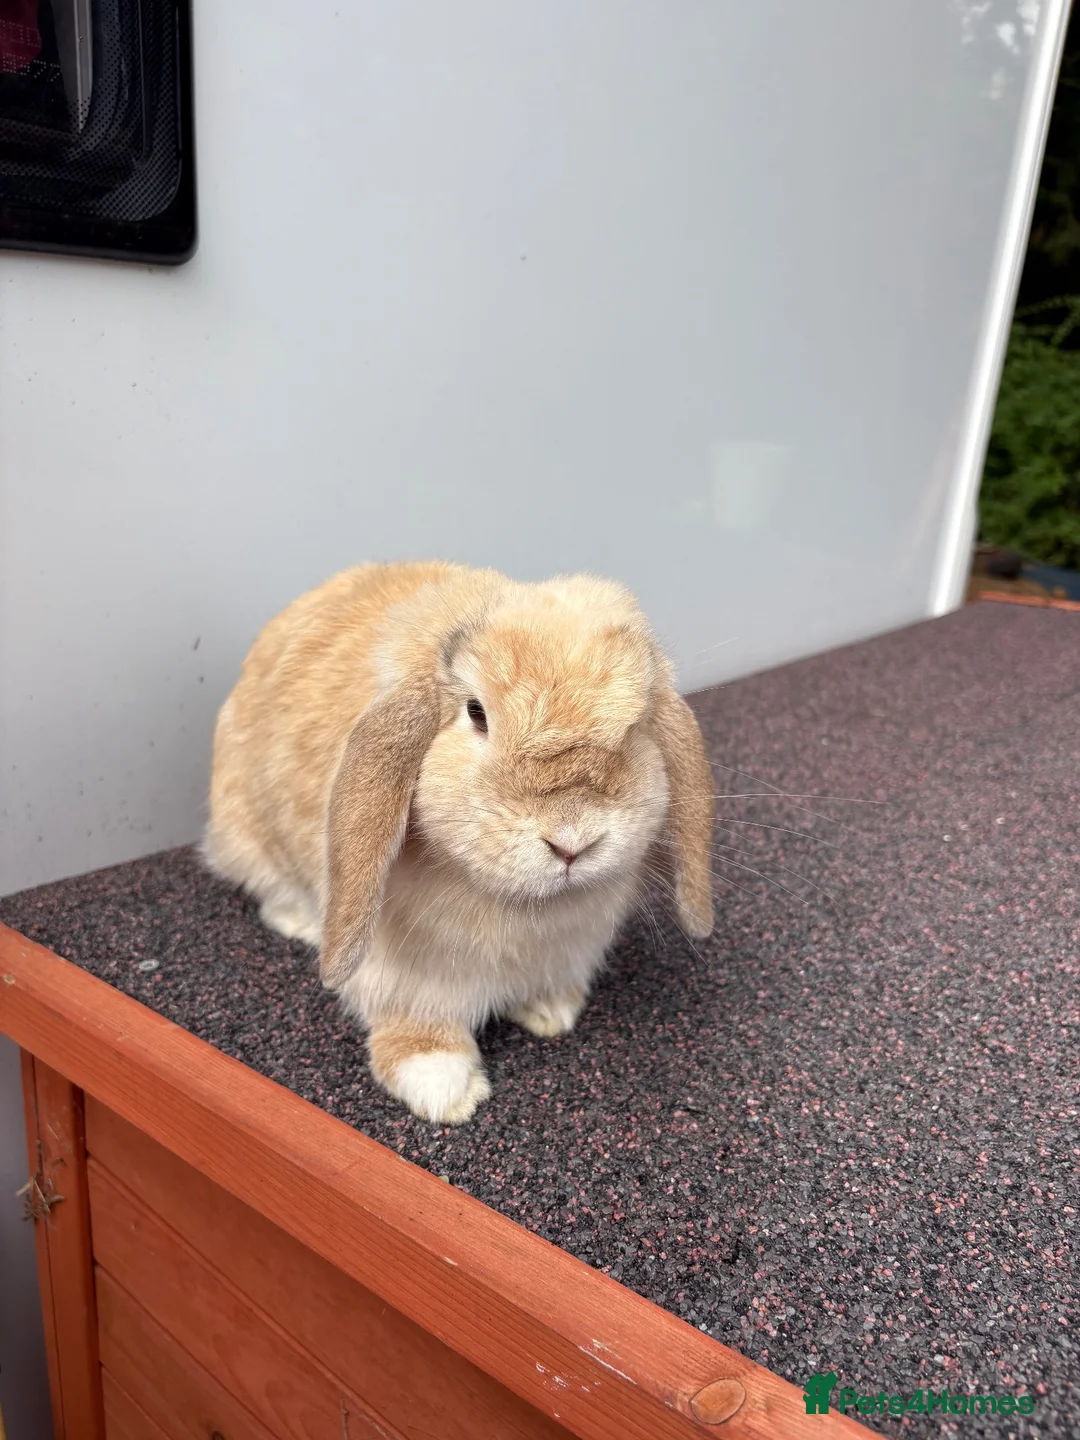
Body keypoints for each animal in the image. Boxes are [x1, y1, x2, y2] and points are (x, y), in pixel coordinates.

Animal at [204, 561, 715, 1124]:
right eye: (476, 713)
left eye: (637, 726)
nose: (572, 842)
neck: (522, 907)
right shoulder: (403, 977)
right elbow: (417, 1027)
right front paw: (445, 1089)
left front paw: (552, 1012)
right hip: (247, 838)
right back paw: (303, 924)